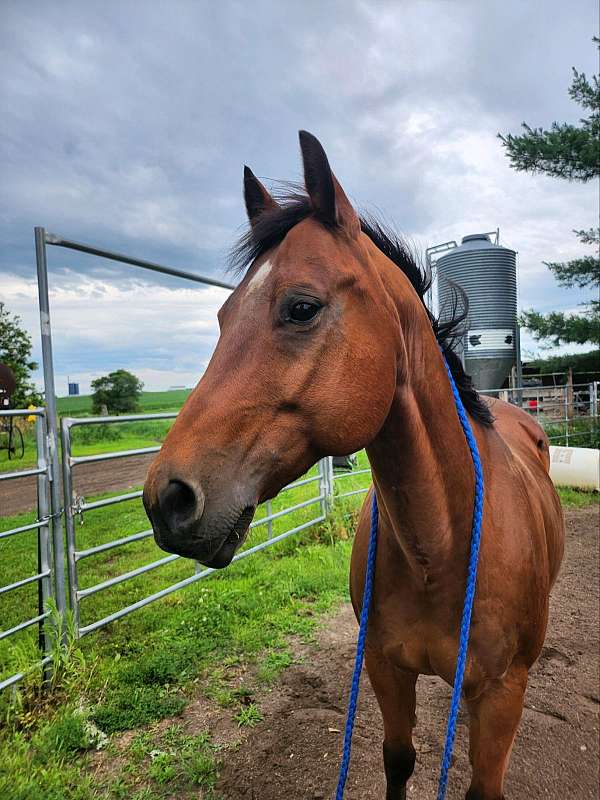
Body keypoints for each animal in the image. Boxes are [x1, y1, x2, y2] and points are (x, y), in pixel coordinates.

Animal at [143, 133, 564, 800]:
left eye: (302, 307)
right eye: (223, 318)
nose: (168, 498)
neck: (439, 548)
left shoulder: (500, 695)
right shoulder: (385, 669)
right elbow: (398, 759)